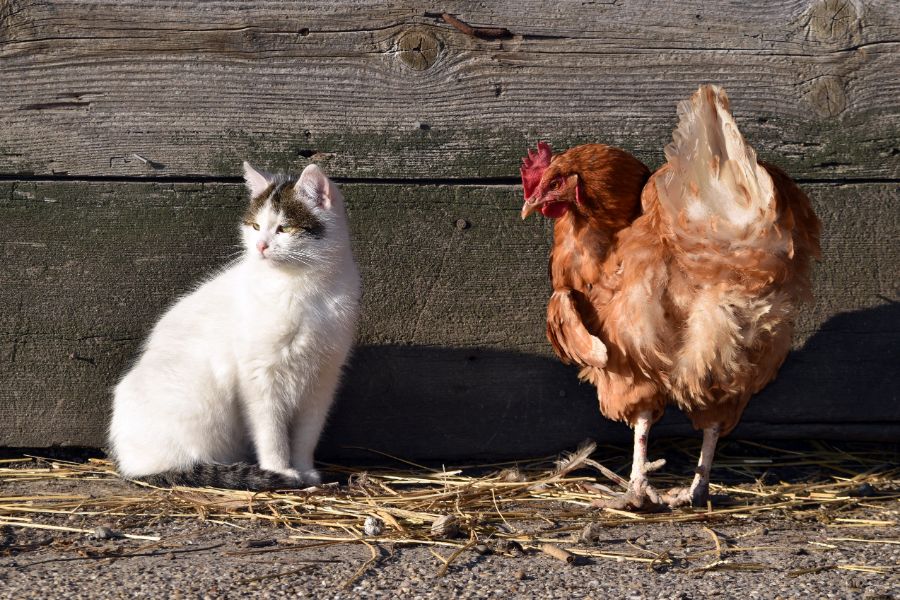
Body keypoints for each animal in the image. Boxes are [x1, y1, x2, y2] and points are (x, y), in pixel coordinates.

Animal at [105, 162, 358, 490]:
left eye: (284, 228)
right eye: (255, 227)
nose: (261, 246)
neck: (300, 287)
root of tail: (125, 462)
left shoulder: (322, 379)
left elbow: (306, 436)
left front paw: (306, 471)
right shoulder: (260, 377)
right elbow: (271, 432)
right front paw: (281, 470)